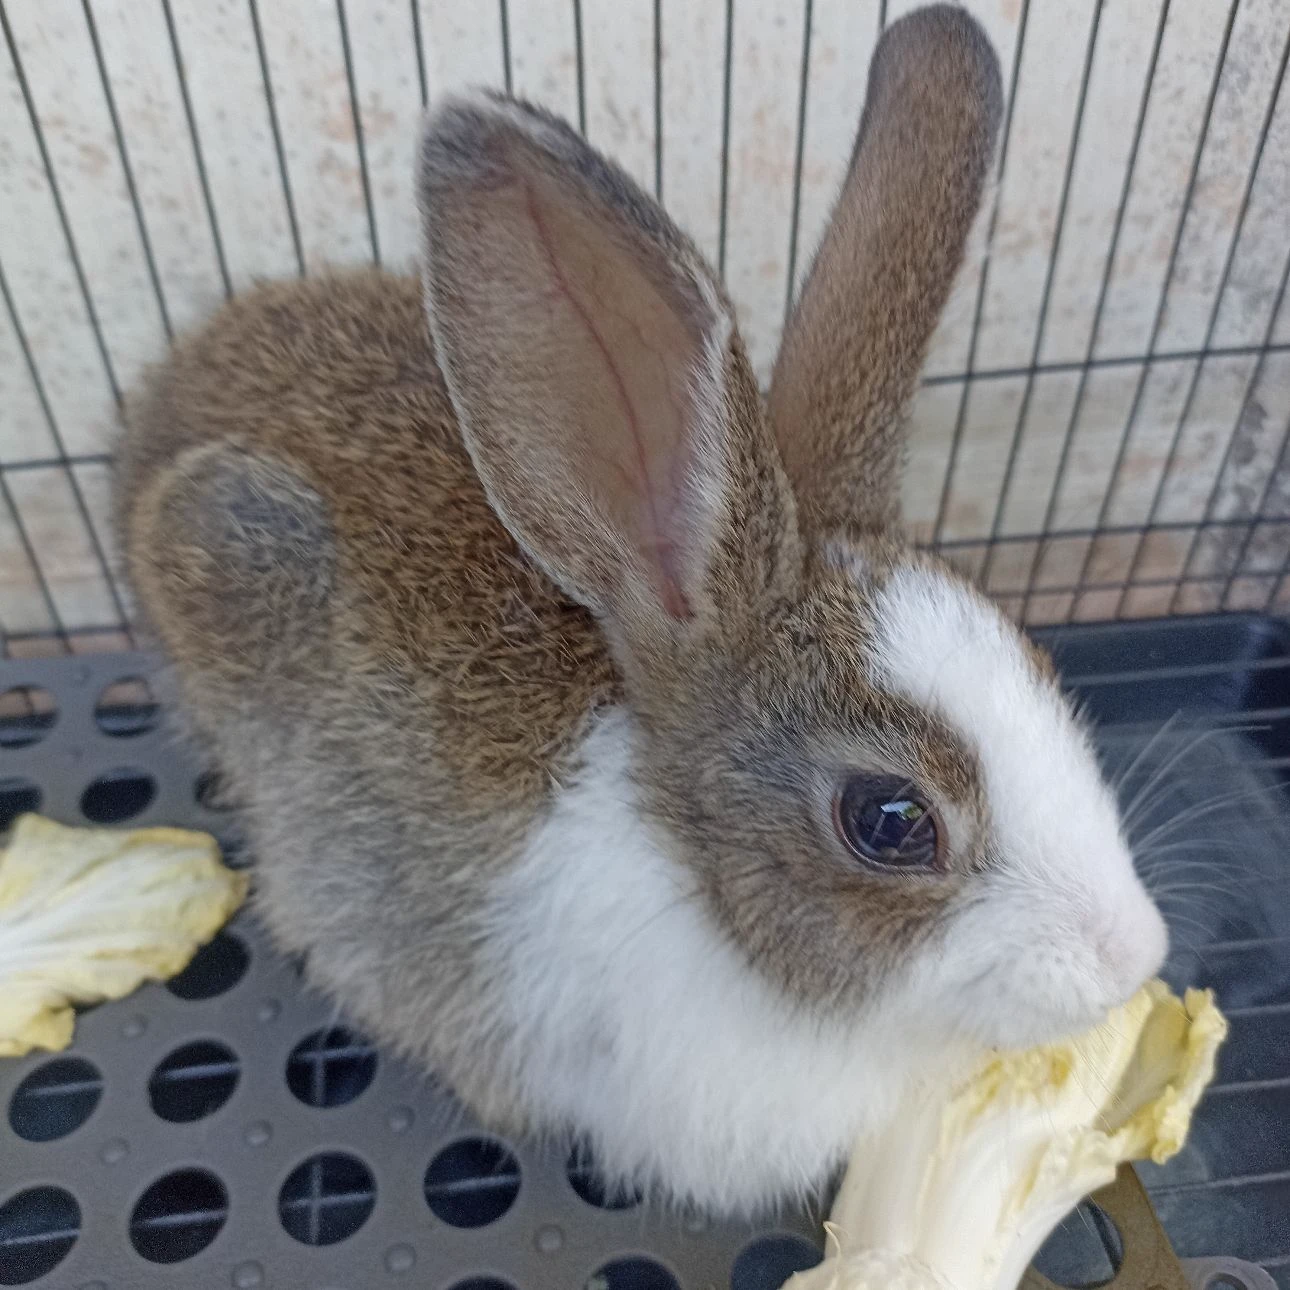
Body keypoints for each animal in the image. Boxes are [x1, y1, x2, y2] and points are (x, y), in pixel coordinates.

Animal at [115, 4, 1167, 1215]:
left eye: (1039, 661)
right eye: (892, 821)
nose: (1131, 958)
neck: (690, 872)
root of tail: (161, 400)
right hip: (224, 547)